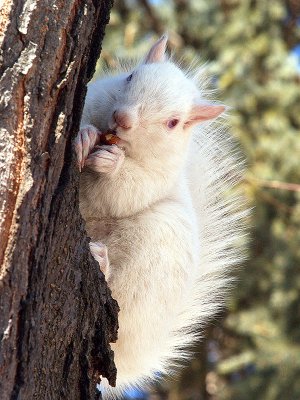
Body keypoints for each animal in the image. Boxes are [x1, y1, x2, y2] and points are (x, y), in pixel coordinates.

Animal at [74, 36, 246, 398]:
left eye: (173, 123)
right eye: (130, 77)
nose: (122, 119)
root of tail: (135, 360)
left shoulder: (157, 178)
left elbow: (122, 192)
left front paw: (111, 164)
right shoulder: (95, 98)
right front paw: (84, 135)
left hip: (156, 250)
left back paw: (101, 263)